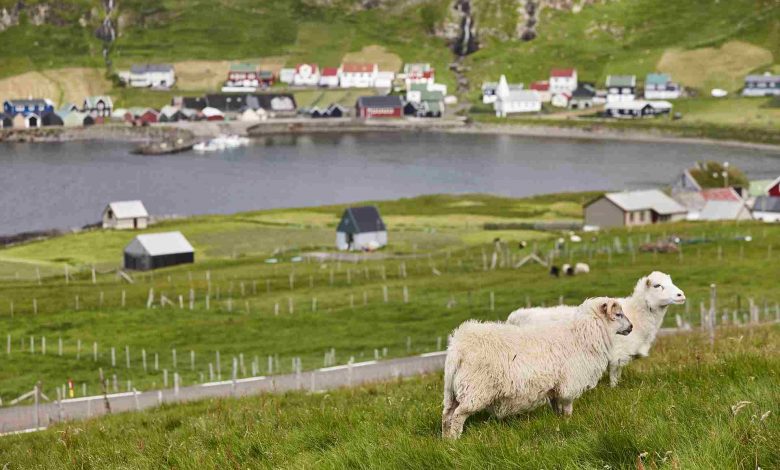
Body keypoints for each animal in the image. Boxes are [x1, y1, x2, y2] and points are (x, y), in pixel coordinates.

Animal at [442, 297, 631, 439]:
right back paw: (456, 439)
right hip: (475, 389)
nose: (631, 327)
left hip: (452, 391)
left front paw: (558, 421)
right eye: (618, 314)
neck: (582, 336)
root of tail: (458, 346)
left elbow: (557, 408)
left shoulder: (555, 387)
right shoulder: (569, 384)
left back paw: (447, 440)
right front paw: (569, 422)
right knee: (458, 415)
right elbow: (568, 407)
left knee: (446, 415)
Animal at [506, 271, 685, 387]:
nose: (681, 295)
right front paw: (614, 389)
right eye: (657, 285)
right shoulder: (617, 355)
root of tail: (514, 317)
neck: (637, 314)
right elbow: (614, 378)